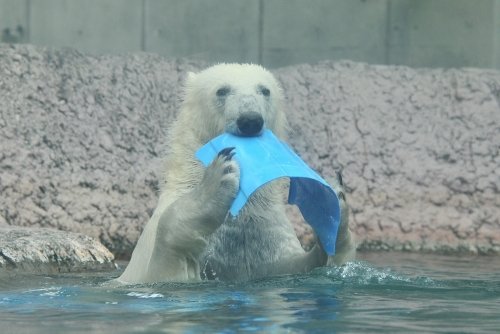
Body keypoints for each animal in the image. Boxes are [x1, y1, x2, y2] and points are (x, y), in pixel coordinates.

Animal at [117, 63, 356, 284]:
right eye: (221, 90)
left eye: (264, 90)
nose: (250, 120)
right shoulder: (150, 267)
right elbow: (167, 258)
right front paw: (214, 183)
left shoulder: (261, 227)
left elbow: (290, 263)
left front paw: (332, 209)